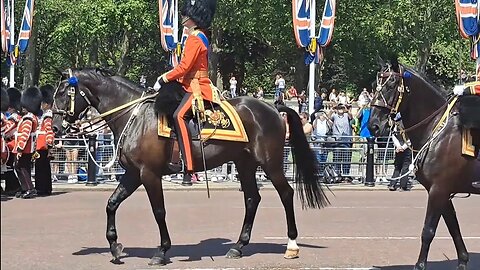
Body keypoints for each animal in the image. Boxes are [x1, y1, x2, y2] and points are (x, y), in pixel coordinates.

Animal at [52, 69, 330, 266]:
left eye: (64, 94)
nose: (55, 128)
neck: (134, 116)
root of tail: (273, 106)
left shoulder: (148, 174)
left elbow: (159, 211)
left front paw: (162, 250)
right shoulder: (133, 173)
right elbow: (112, 204)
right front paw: (115, 247)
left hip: (270, 163)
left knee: (286, 194)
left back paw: (291, 245)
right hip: (245, 164)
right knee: (252, 198)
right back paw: (238, 246)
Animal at [370, 59, 478, 270]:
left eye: (391, 84)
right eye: (374, 85)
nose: (373, 125)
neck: (436, 127)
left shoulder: (439, 190)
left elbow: (428, 231)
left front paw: (420, 265)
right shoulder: (442, 190)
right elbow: (453, 226)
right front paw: (462, 260)